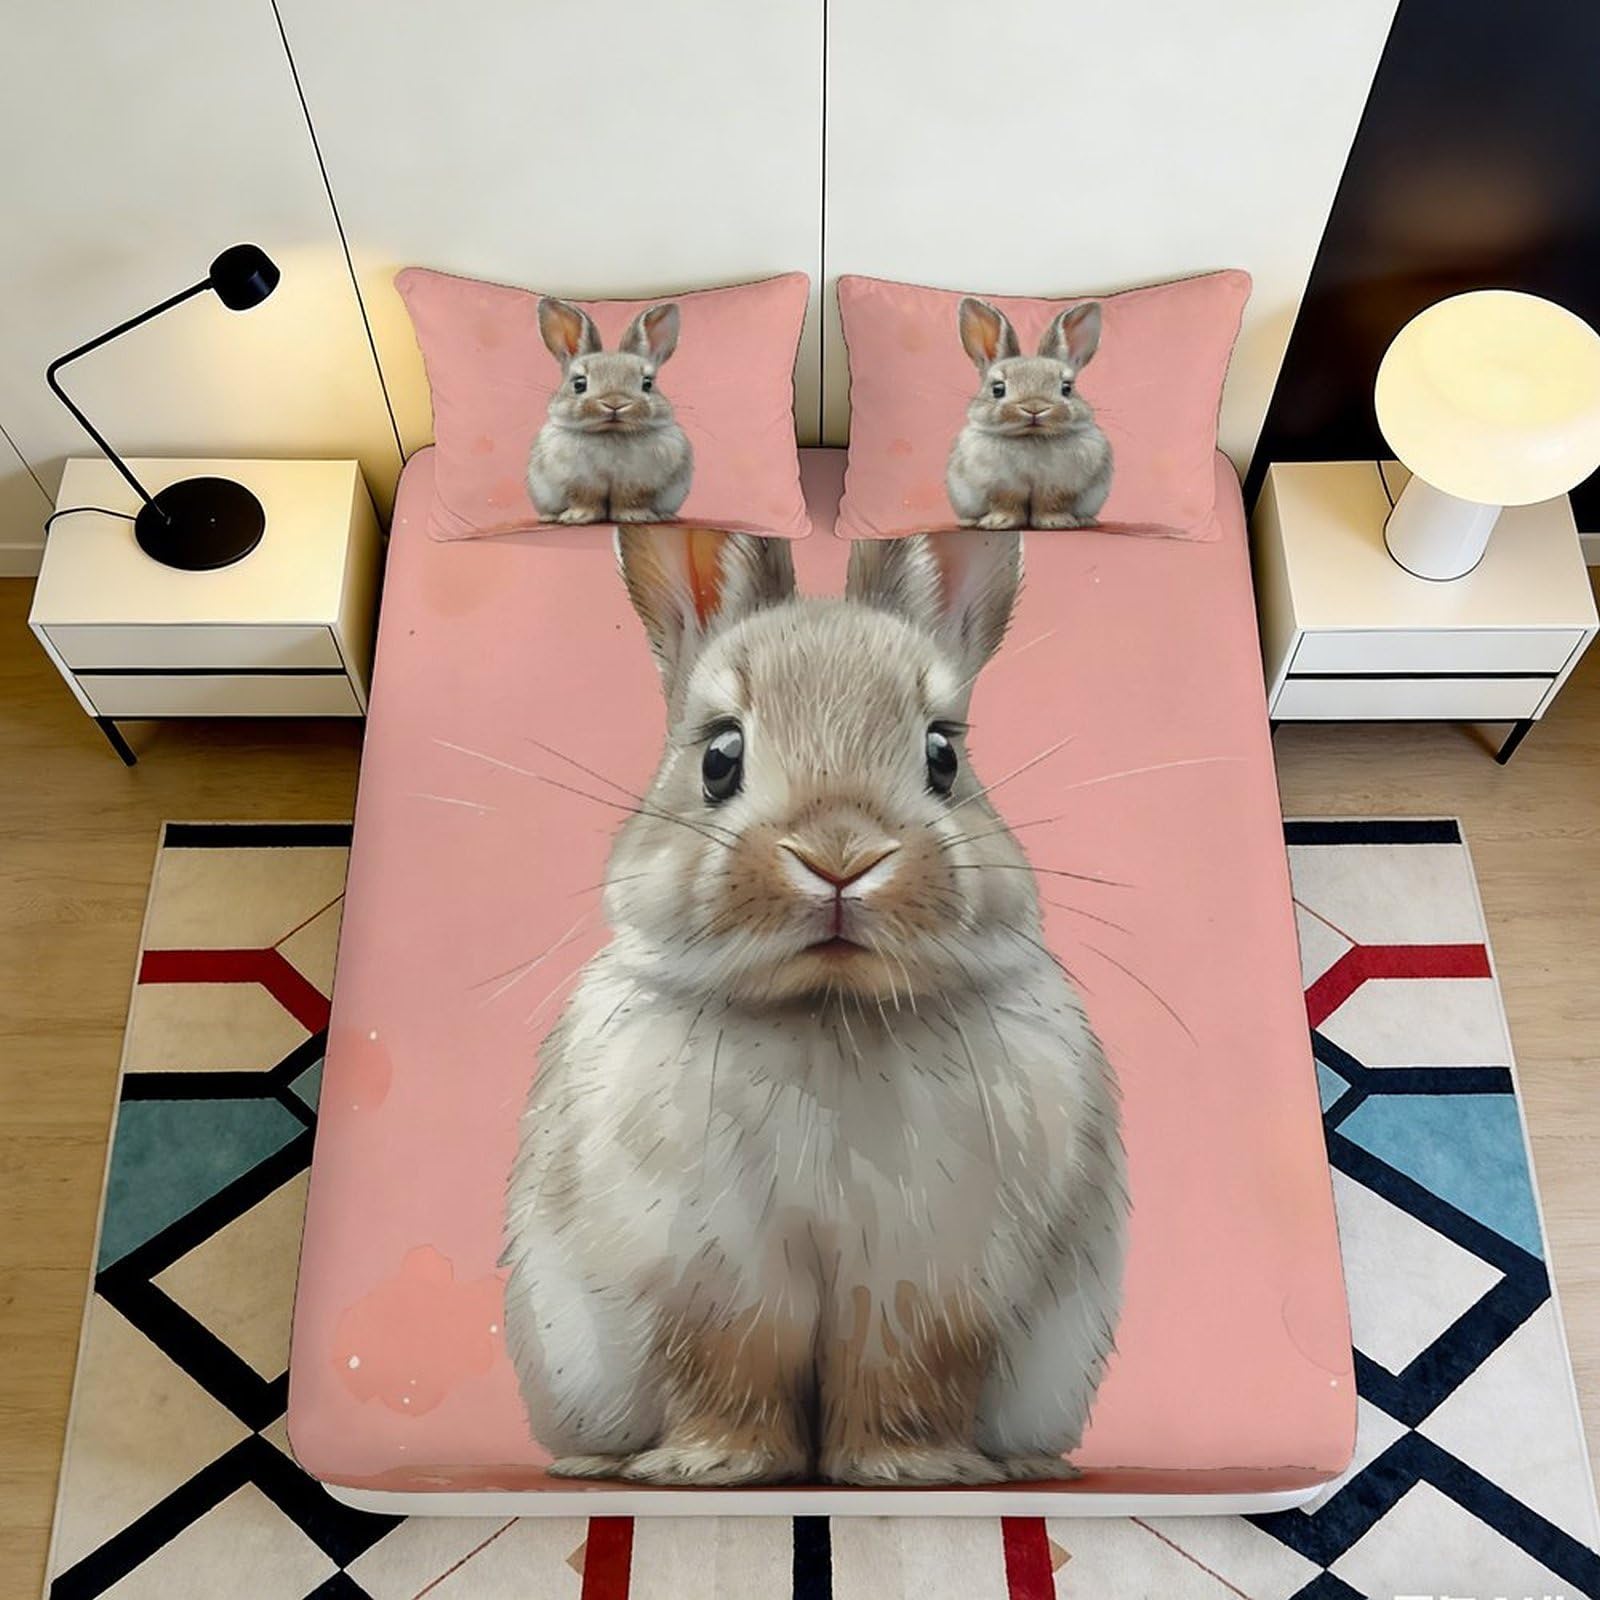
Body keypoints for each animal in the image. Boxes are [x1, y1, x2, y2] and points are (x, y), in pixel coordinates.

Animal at [502, 525, 1127, 1487]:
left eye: (944, 755)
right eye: (719, 757)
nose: (841, 852)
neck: (827, 1008)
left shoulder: (923, 1283)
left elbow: (903, 1381)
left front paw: (914, 1471)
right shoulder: (714, 1281)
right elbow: (728, 1377)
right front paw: (712, 1466)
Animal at [527, 297, 694, 524]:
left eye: (647, 383)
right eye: (579, 384)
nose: (615, 403)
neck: (611, 432)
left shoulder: (638, 482)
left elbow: (631, 500)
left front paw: (636, 517)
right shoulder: (580, 481)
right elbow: (584, 499)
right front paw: (578, 517)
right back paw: (548, 517)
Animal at [946, 297, 1113, 530]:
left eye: (1067, 388)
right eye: (998, 389)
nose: (1035, 408)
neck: (1031, 437)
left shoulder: (1058, 485)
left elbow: (1051, 503)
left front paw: (1056, 522)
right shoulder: (1002, 485)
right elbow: (1007, 503)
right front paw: (1000, 521)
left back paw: (1086, 520)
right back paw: (968, 521)